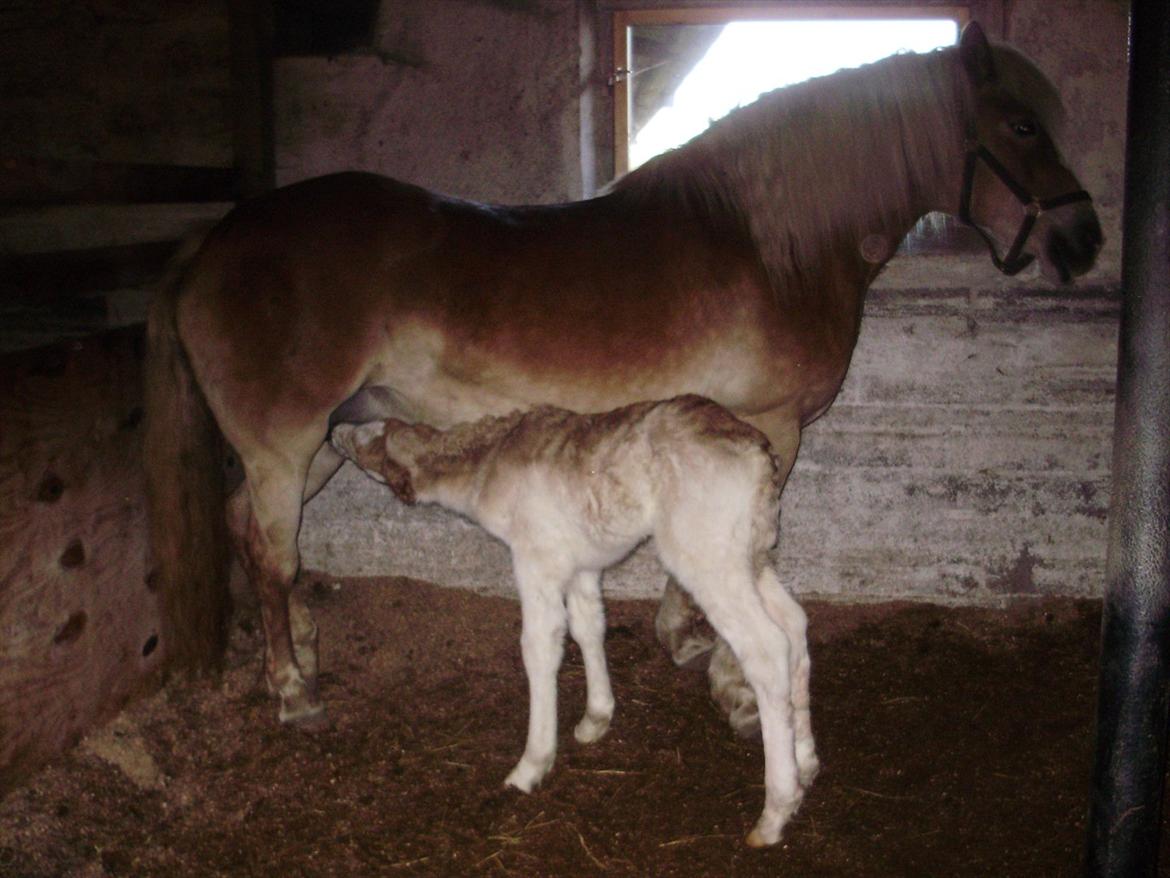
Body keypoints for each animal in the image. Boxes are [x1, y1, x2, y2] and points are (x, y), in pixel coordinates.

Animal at [329, 398, 819, 847]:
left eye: (366, 441)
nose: (334, 430)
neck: (485, 466)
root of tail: (761, 456)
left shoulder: (535, 557)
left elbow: (540, 647)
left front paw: (530, 766)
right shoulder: (583, 562)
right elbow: (589, 624)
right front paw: (594, 720)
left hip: (706, 555)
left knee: (766, 647)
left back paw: (774, 813)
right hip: (750, 553)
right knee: (794, 625)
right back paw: (807, 762)